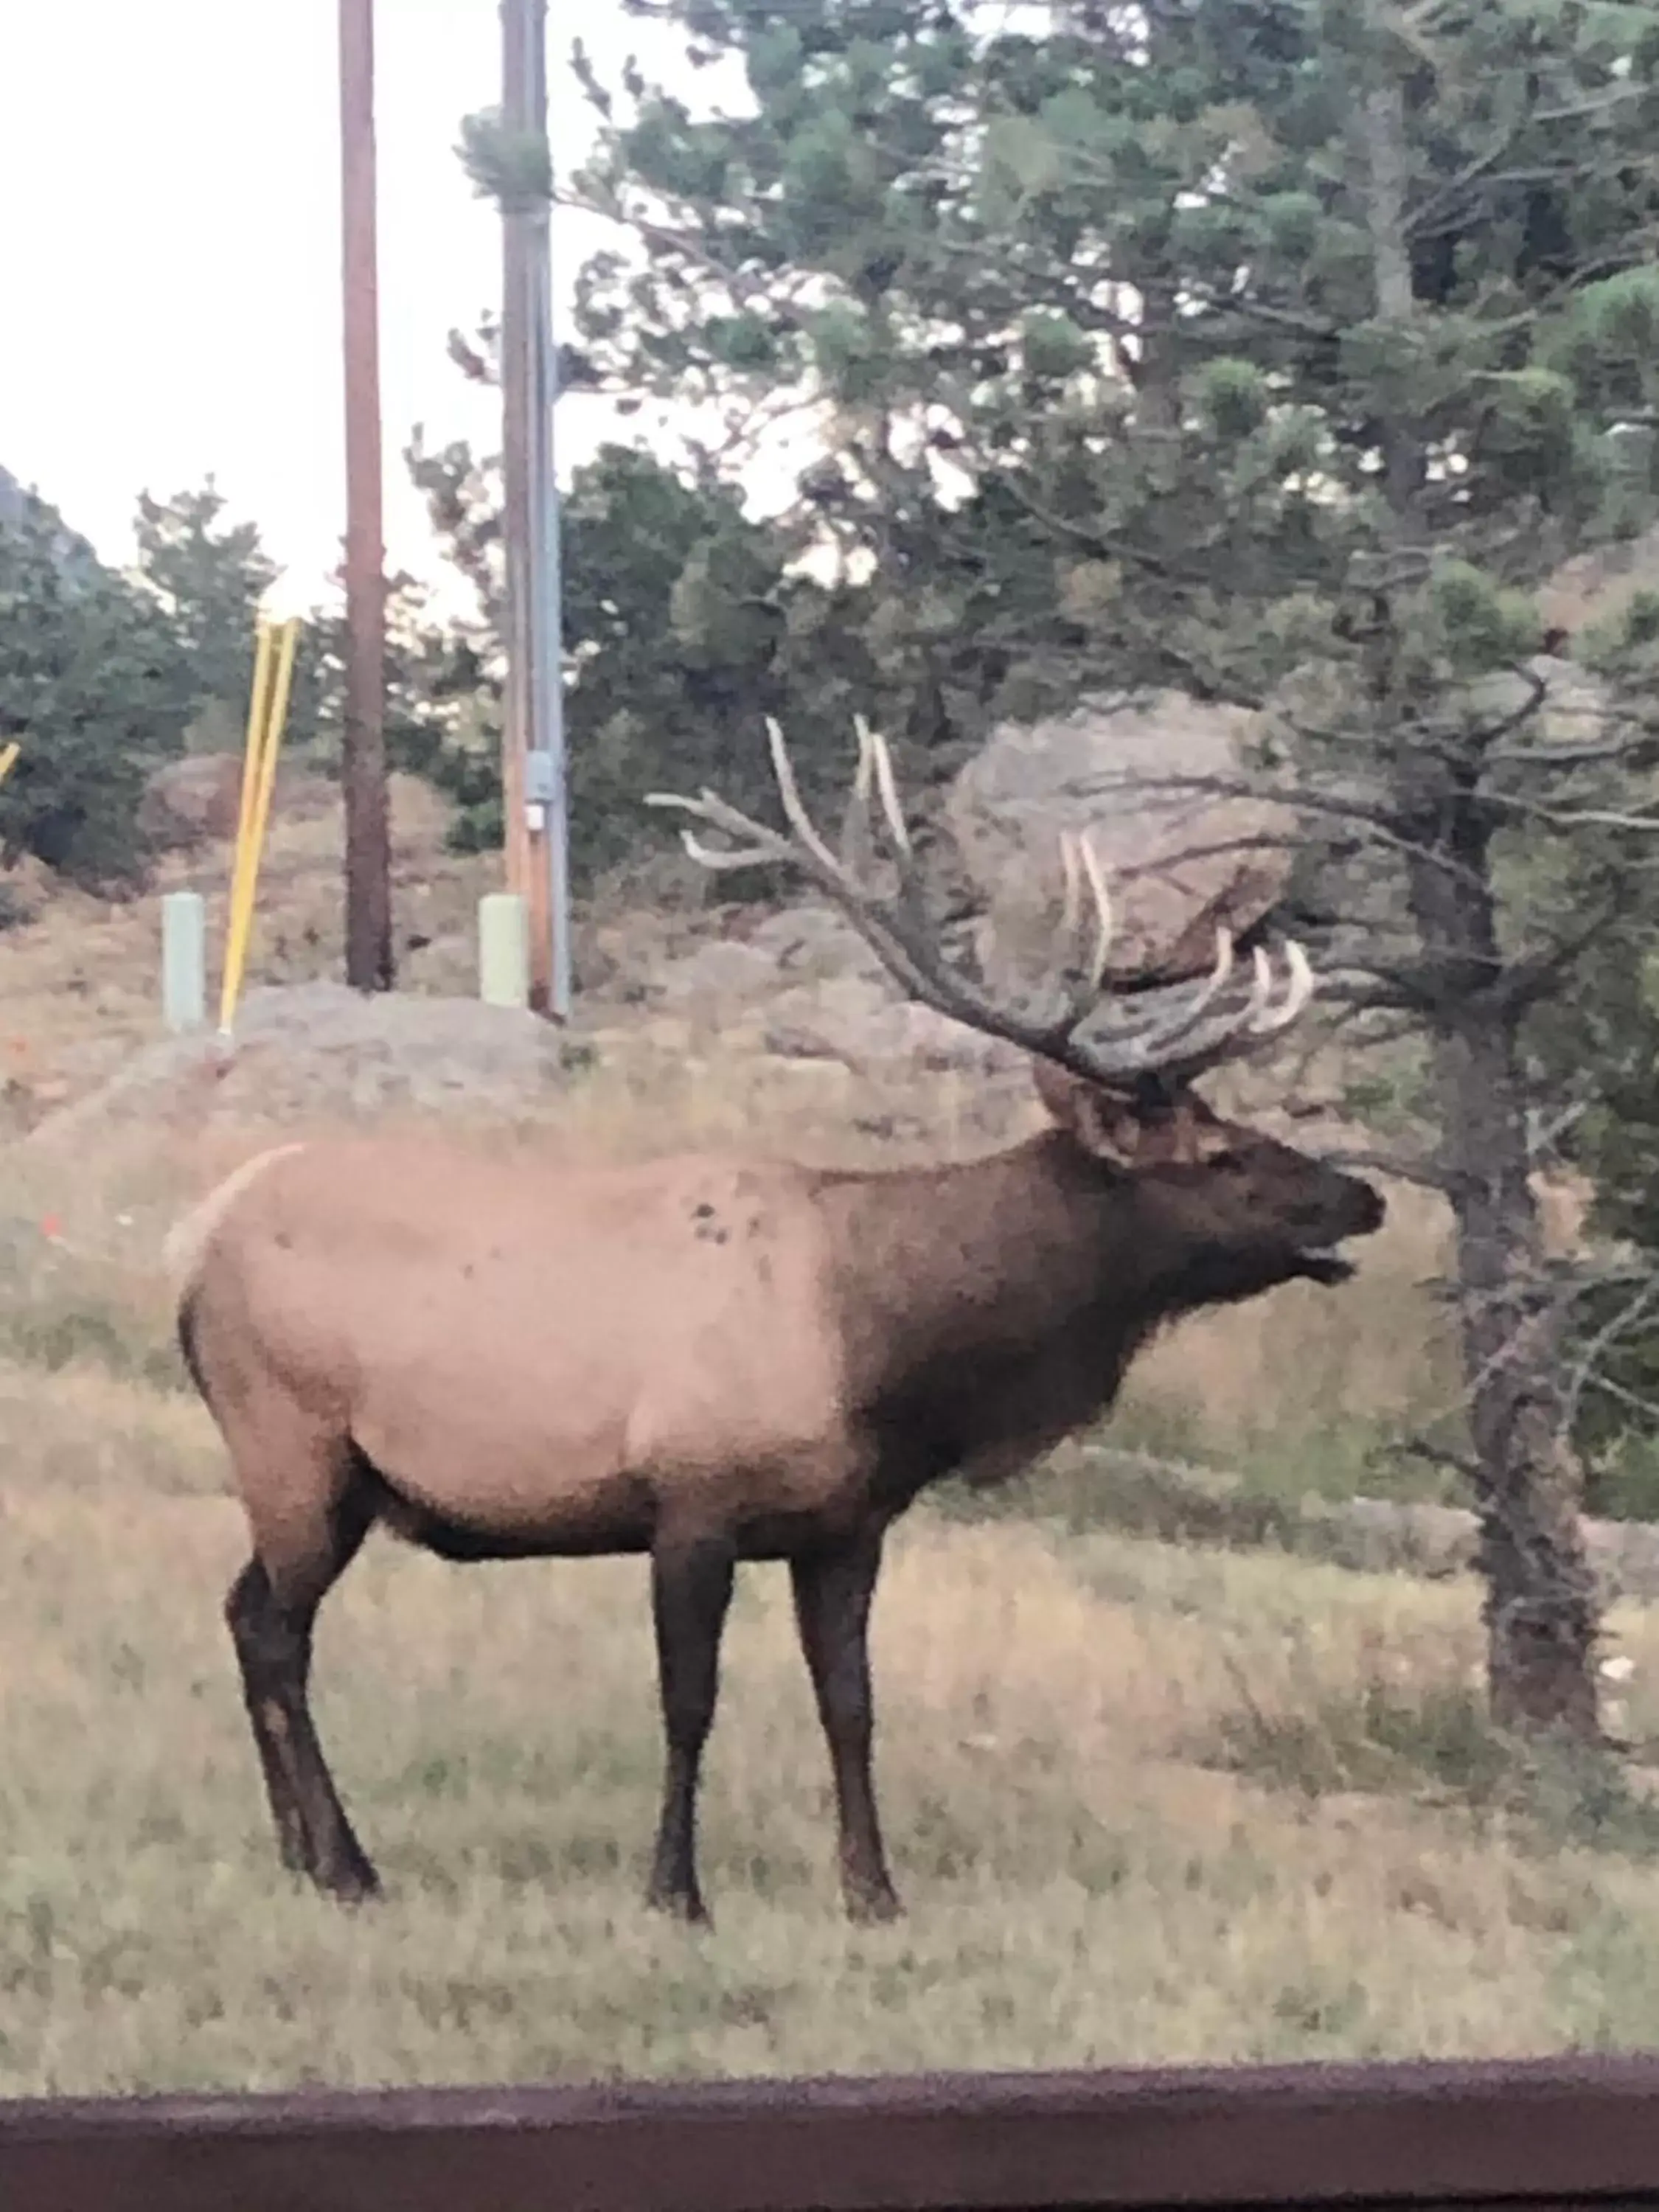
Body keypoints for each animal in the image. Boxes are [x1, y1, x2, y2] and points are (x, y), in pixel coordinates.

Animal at [169, 721, 1389, 1920]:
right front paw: (676, 1892)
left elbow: (849, 1703)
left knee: (241, 1615)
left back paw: (300, 1854)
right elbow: (688, 1702)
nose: (1360, 1198)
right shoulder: (689, 1498)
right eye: (1220, 1154)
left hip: (327, 1479)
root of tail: (188, 1248)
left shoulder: (847, 1525)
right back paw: (349, 1867)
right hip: (292, 1442)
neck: (885, 1356)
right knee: (275, 1634)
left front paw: (873, 1892)